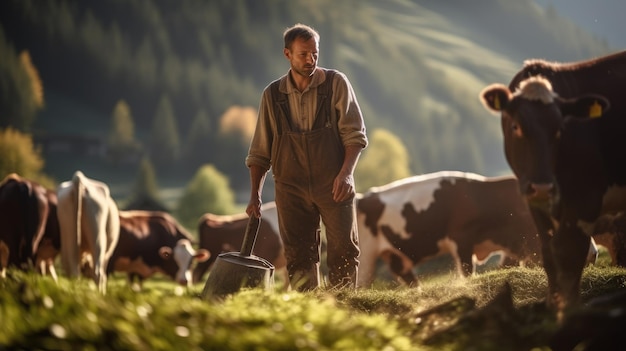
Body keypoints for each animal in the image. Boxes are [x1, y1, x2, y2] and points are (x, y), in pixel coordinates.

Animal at [356, 170, 540, 288]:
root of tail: (362, 198)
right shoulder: (460, 238)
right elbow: (467, 270)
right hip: (365, 256)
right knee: (361, 283)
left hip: (394, 255)